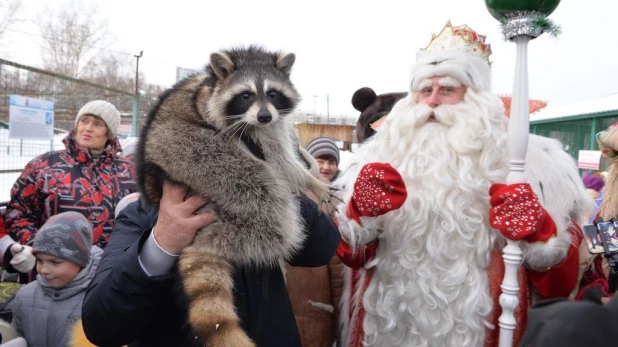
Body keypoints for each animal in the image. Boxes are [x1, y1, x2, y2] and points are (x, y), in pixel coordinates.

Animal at [134, 47, 328, 347]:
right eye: (245, 95)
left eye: (272, 93)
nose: (264, 116)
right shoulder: (211, 113)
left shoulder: (270, 127)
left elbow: (281, 159)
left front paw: (310, 181)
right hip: (179, 149)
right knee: (260, 189)